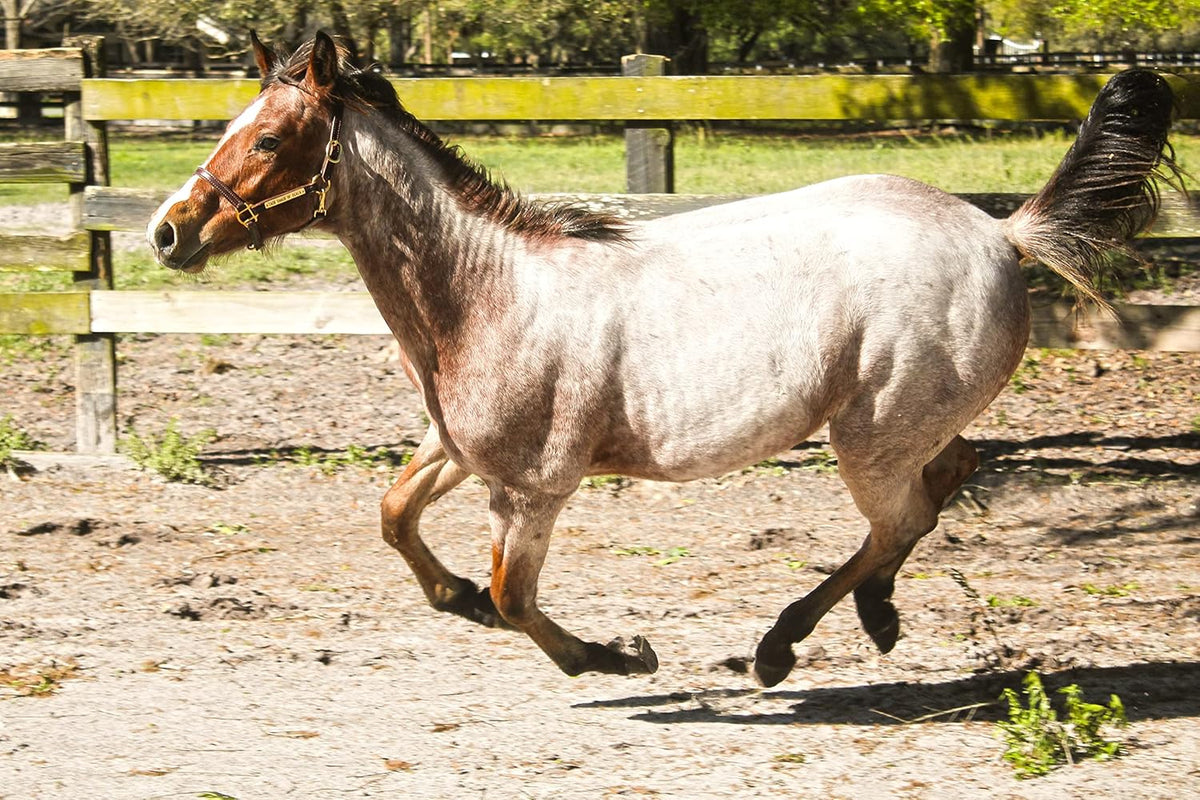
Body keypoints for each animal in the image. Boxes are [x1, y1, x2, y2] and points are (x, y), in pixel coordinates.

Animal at [148, 32, 1182, 687]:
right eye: (229, 127)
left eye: (269, 137)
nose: (168, 231)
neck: (485, 293)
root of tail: (1002, 231)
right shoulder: (458, 451)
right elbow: (396, 518)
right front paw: (458, 602)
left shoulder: (532, 486)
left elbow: (515, 596)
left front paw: (619, 656)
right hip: (909, 427)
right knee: (949, 476)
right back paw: (875, 618)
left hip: (872, 436)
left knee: (905, 517)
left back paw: (782, 647)